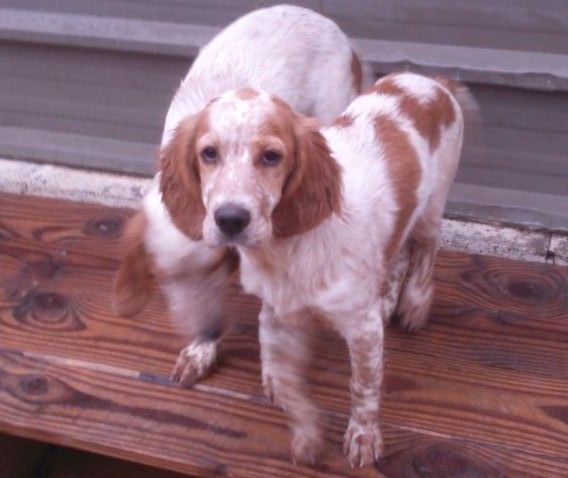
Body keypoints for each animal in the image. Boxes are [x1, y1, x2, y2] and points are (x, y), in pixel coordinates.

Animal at [158, 74, 472, 466]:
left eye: (271, 156)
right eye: (209, 153)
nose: (230, 219)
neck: (286, 248)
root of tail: (432, 82)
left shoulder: (362, 327)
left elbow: (364, 384)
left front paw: (363, 436)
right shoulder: (277, 313)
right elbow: (285, 380)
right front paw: (307, 437)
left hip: (432, 206)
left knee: (427, 249)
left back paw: (414, 303)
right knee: (398, 252)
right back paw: (388, 299)